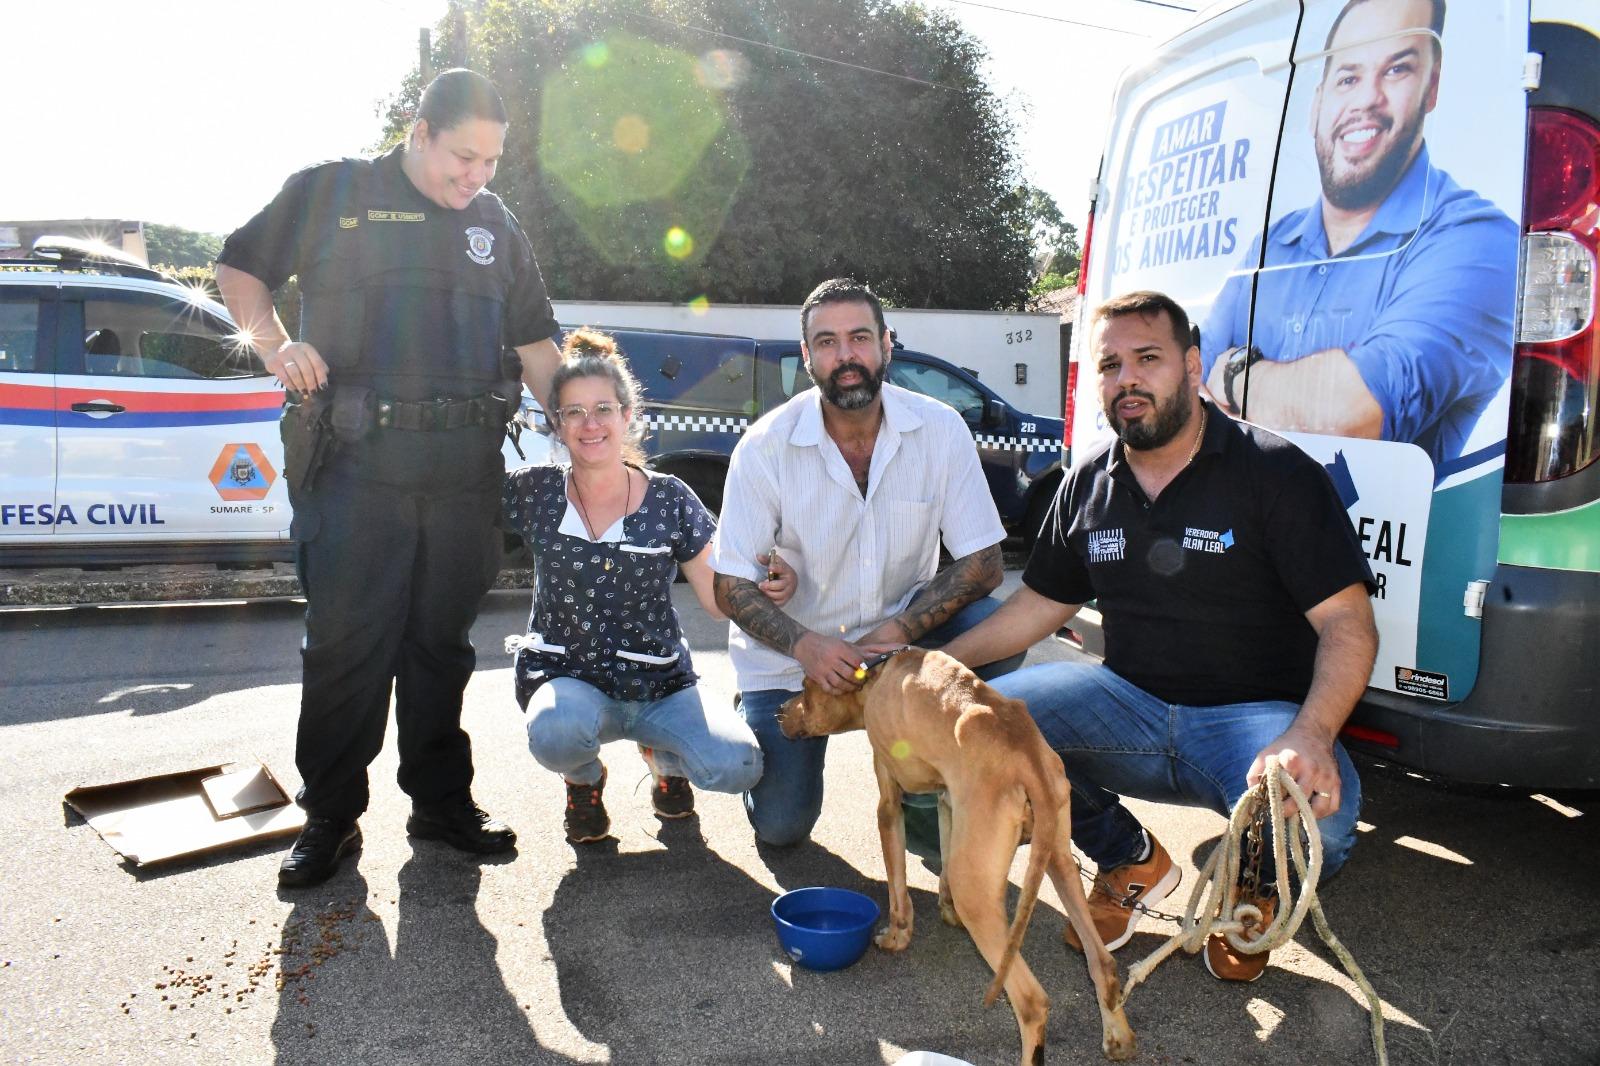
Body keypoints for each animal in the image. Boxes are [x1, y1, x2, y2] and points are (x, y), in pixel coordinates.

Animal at [777, 643, 1139, 1056]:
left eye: (806, 688)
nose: (779, 712)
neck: (877, 672)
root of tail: (1028, 757)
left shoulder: (889, 804)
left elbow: (897, 886)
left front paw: (897, 936)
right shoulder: (948, 801)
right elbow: (945, 858)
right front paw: (946, 911)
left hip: (981, 899)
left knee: (1032, 1003)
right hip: (1058, 860)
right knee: (1103, 964)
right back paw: (1118, 1038)